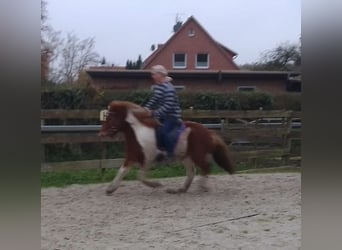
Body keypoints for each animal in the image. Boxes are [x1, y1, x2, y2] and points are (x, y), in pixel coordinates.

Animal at [97, 100, 234, 194]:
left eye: (111, 117)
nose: (101, 134)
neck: (138, 132)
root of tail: (209, 132)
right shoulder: (132, 157)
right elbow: (122, 171)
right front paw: (110, 189)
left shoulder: (148, 159)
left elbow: (140, 176)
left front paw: (156, 184)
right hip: (187, 157)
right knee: (191, 172)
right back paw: (180, 190)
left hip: (197, 155)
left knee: (206, 167)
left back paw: (202, 187)